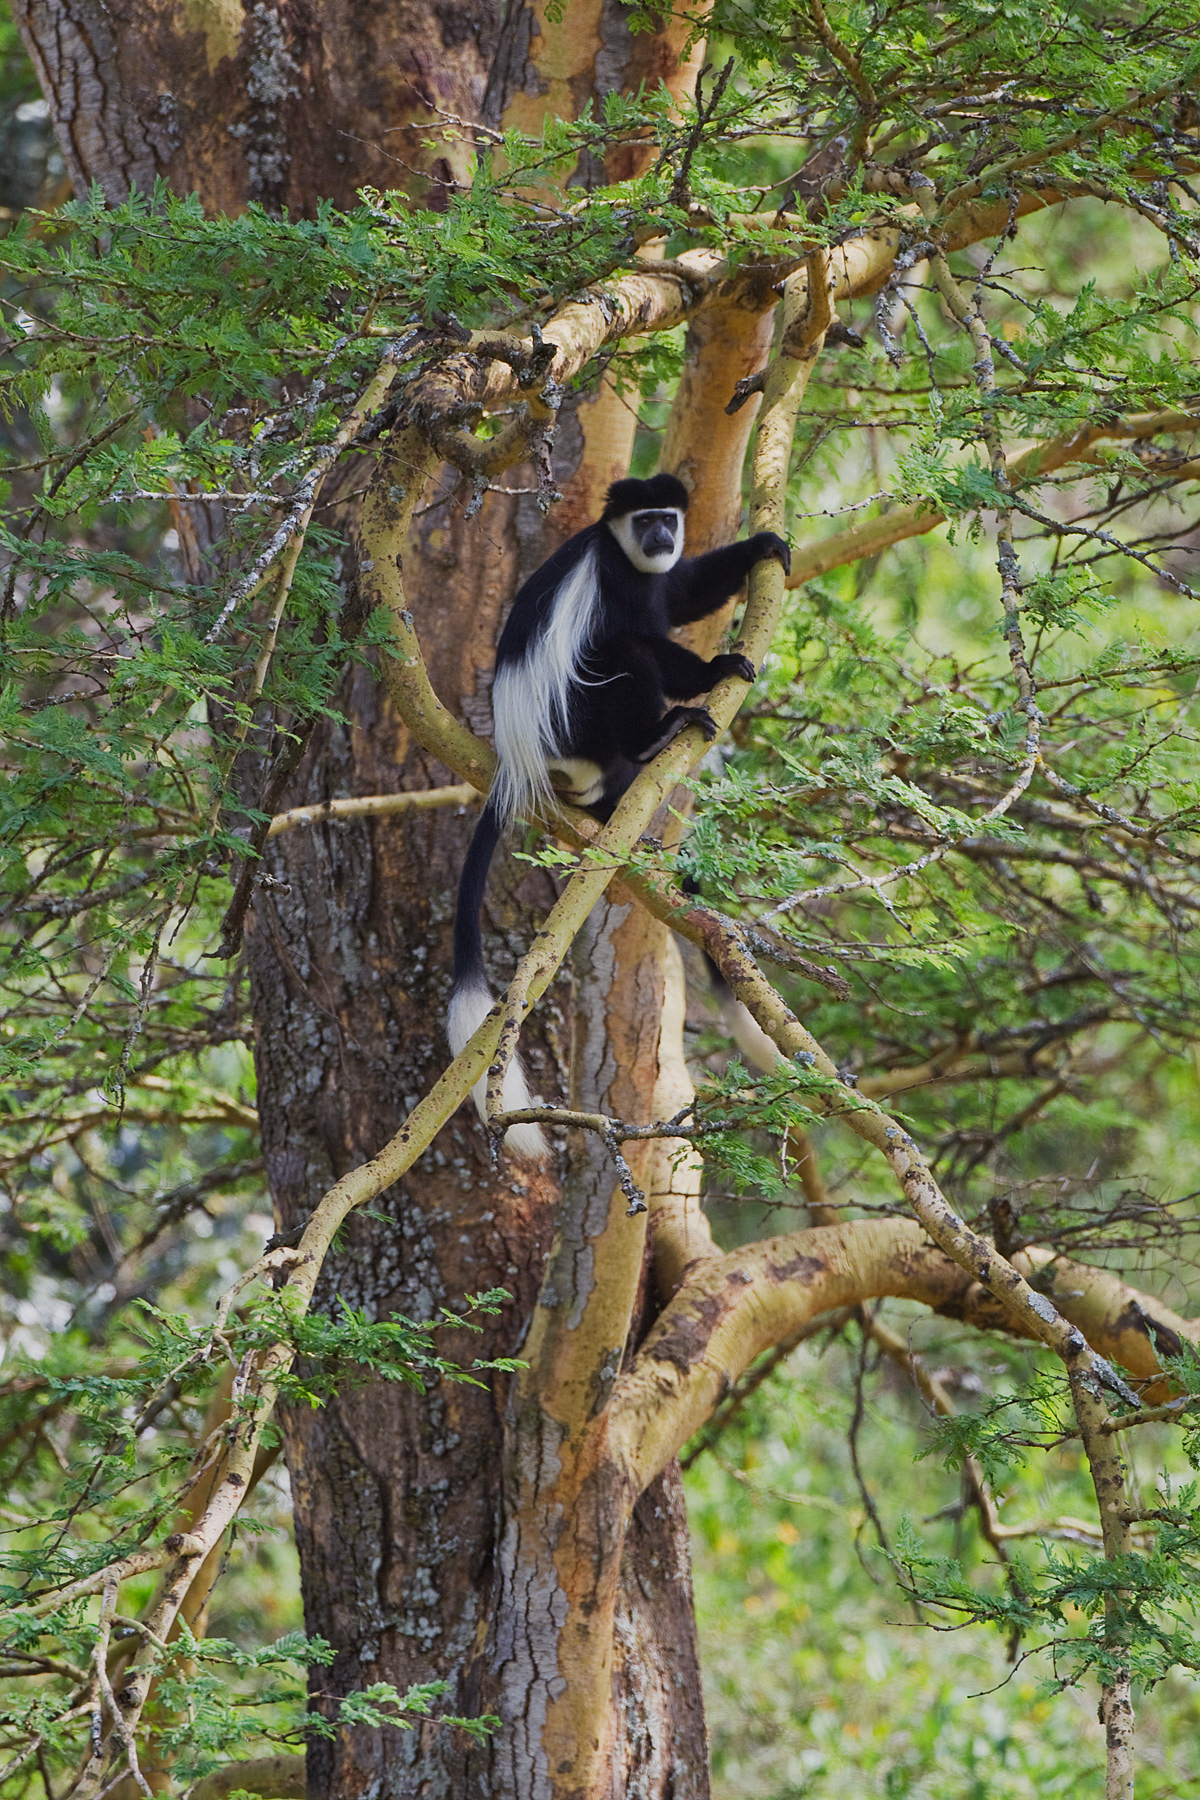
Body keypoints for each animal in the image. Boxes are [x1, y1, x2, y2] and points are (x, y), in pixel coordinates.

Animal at [447, 472, 791, 1159]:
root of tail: (522, 757)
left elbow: (682, 590)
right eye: (644, 520)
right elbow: (642, 638)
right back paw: (660, 732)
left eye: (667, 518)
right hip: (574, 720)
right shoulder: (614, 581)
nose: (660, 536)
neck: (629, 559)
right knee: (624, 653)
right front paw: (717, 668)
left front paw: (760, 547)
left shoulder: (658, 577)